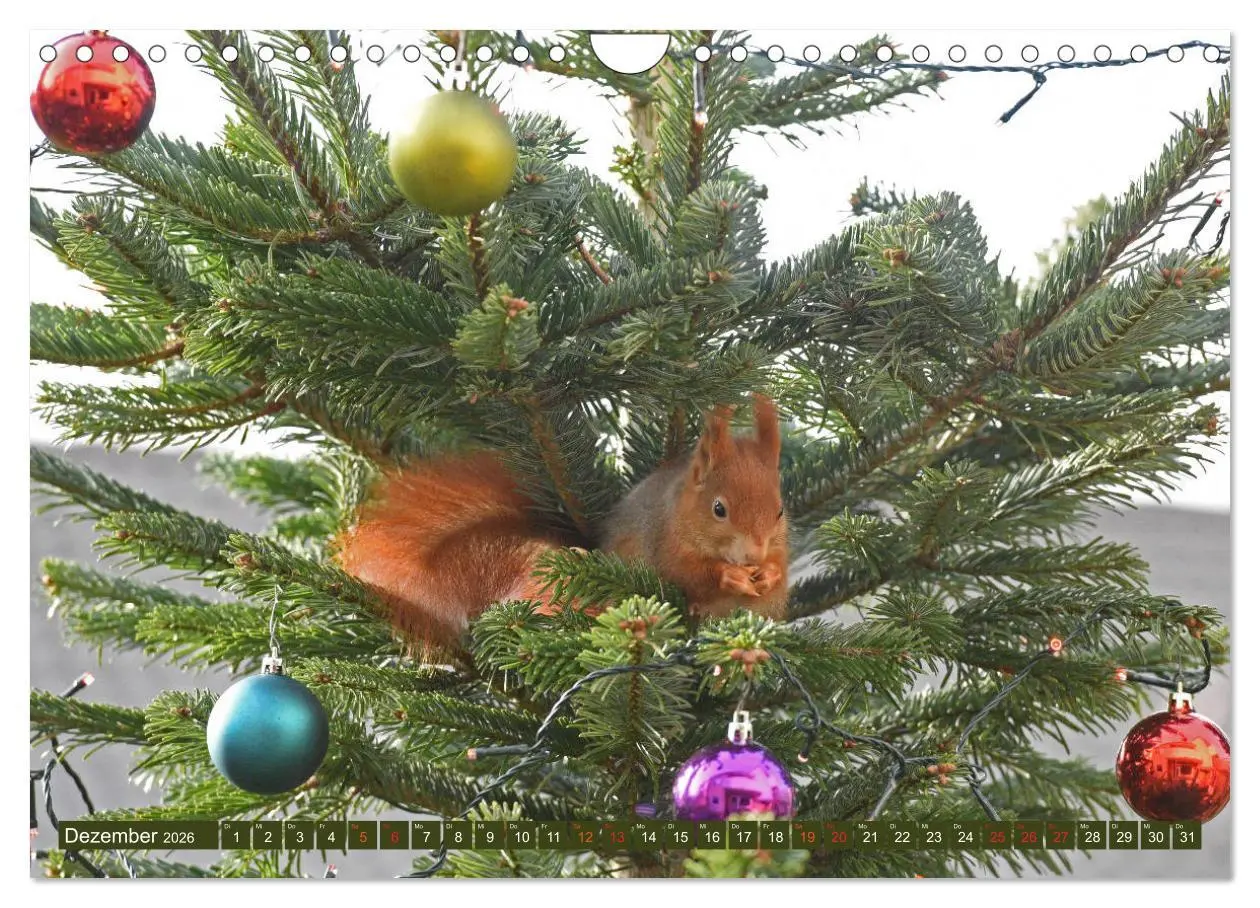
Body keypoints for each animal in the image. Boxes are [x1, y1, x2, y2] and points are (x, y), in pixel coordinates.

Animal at [334, 394, 789, 649]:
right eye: (719, 509)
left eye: (781, 510)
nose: (753, 554)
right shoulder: (665, 540)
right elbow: (688, 572)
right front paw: (729, 576)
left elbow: (780, 571)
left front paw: (767, 573)